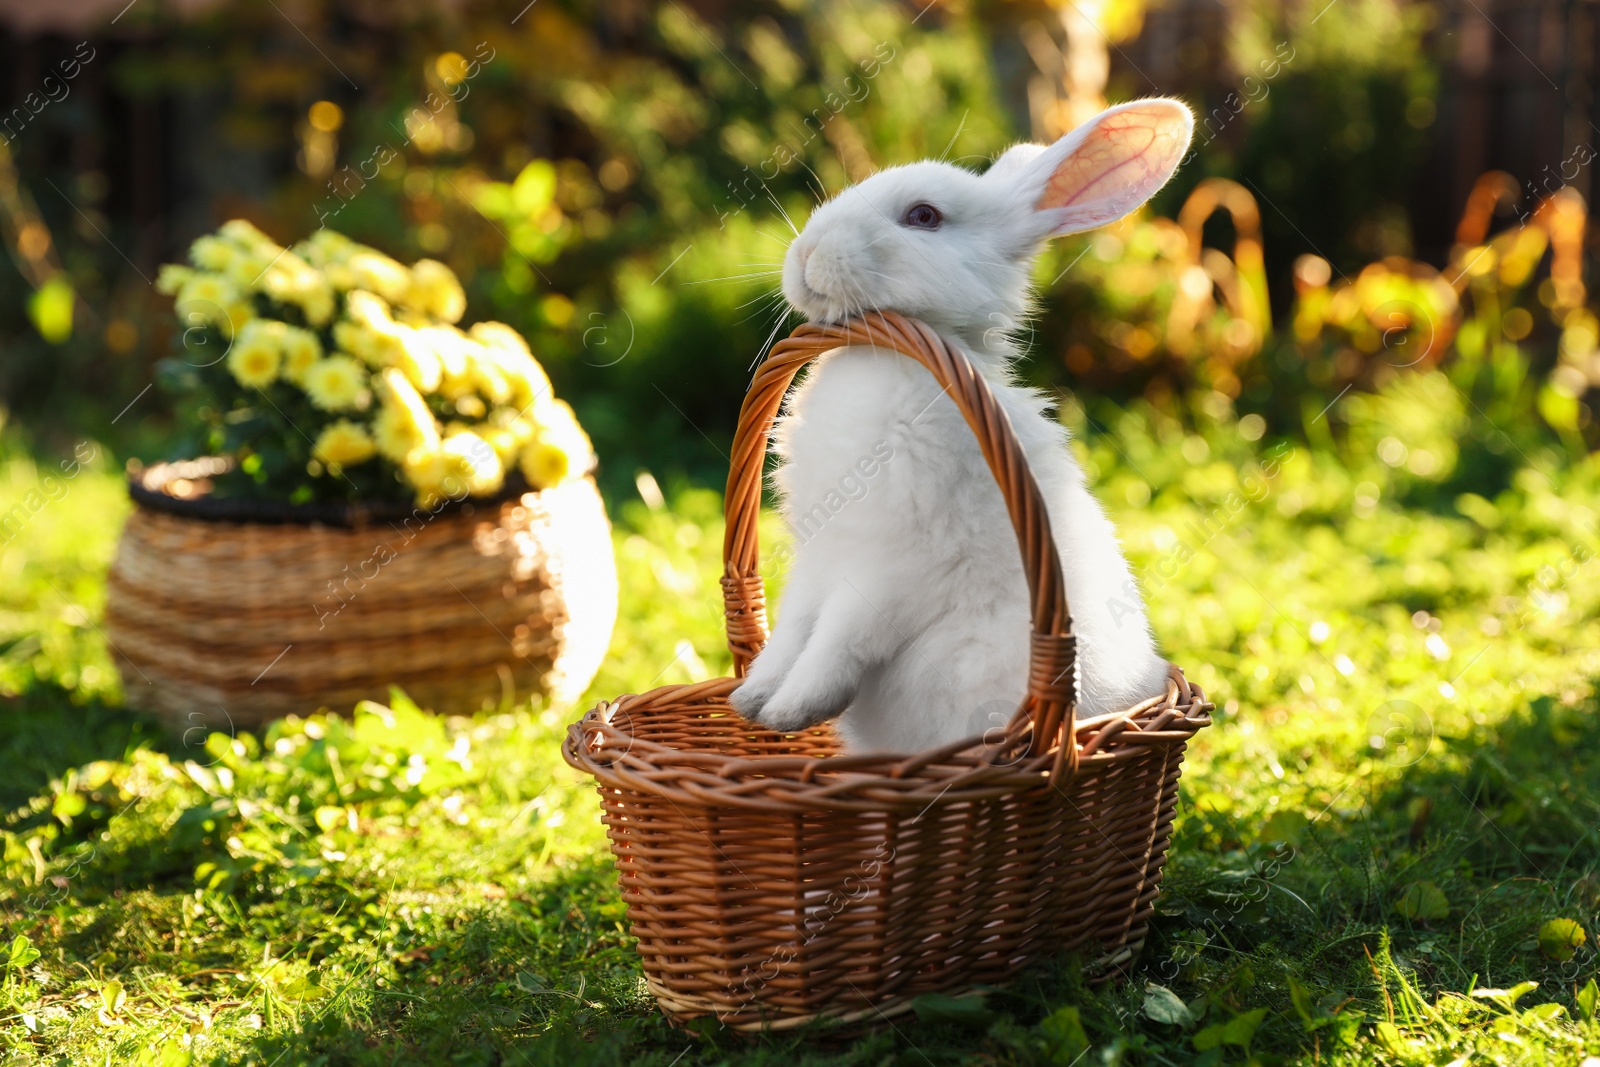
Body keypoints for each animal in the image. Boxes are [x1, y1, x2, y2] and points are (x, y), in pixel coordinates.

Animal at [732, 97, 1196, 751]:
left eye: (923, 216)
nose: (803, 256)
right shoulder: (818, 562)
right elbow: (793, 630)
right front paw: (751, 697)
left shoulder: (890, 571)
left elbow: (837, 643)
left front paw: (790, 711)